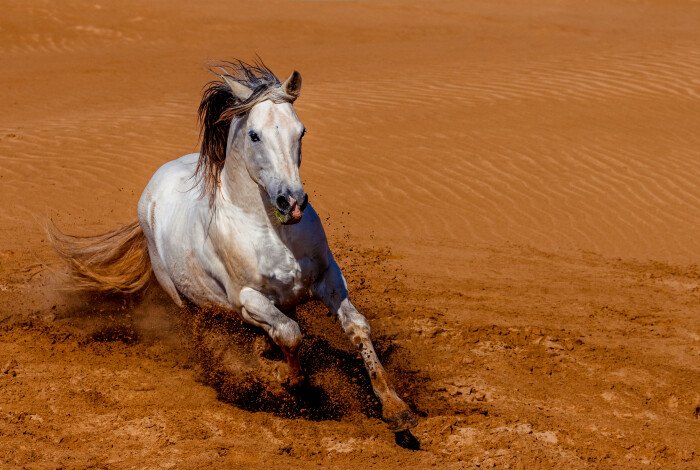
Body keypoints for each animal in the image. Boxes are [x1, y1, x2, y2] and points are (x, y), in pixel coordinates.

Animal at [52, 59, 418, 434]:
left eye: (301, 131)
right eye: (254, 135)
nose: (292, 202)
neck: (272, 233)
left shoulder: (327, 278)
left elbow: (356, 327)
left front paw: (395, 407)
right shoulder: (247, 299)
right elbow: (290, 334)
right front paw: (285, 379)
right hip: (183, 299)